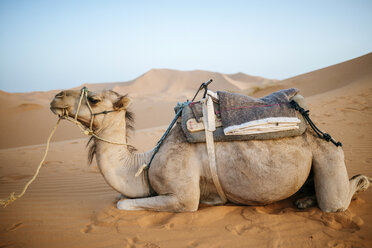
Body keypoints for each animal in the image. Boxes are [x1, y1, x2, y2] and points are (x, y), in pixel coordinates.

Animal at [50, 88, 372, 212]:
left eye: (93, 99)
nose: (56, 97)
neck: (144, 162)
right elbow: (120, 198)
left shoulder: (183, 197)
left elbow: (122, 204)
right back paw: (304, 201)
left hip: (327, 154)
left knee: (342, 196)